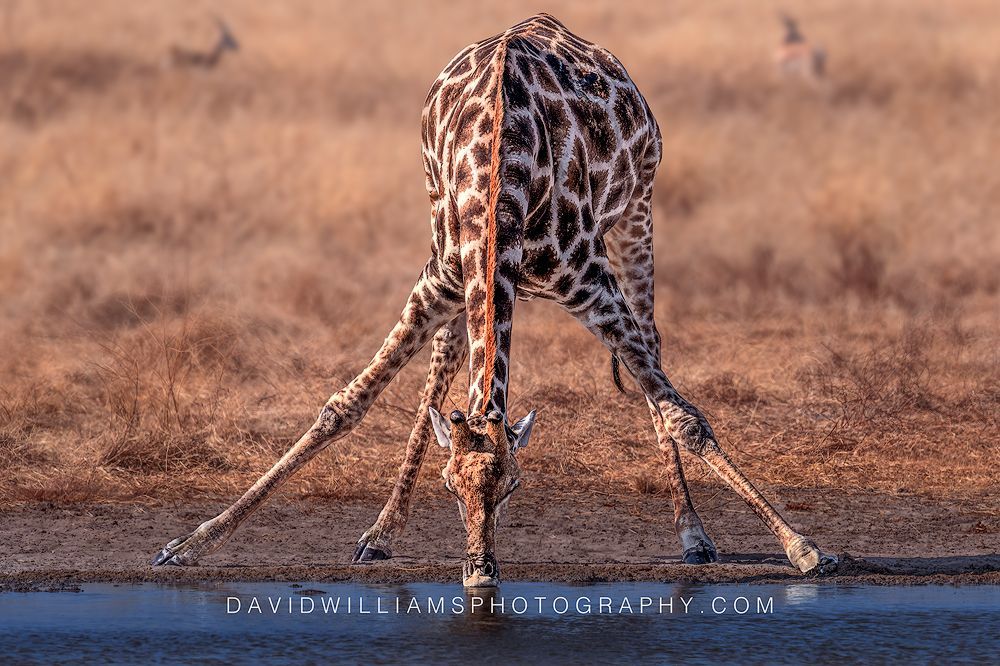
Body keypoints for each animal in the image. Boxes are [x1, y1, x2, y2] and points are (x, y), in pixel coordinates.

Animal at [152, 14, 838, 586]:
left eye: (512, 487)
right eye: (452, 489)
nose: (480, 574)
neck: (501, 187)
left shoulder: (589, 281)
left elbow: (684, 416)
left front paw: (803, 546)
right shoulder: (439, 280)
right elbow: (345, 405)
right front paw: (191, 543)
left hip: (637, 215)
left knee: (652, 348)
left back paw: (694, 536)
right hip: (457, 266)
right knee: (444, 367)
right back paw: (380, 532)